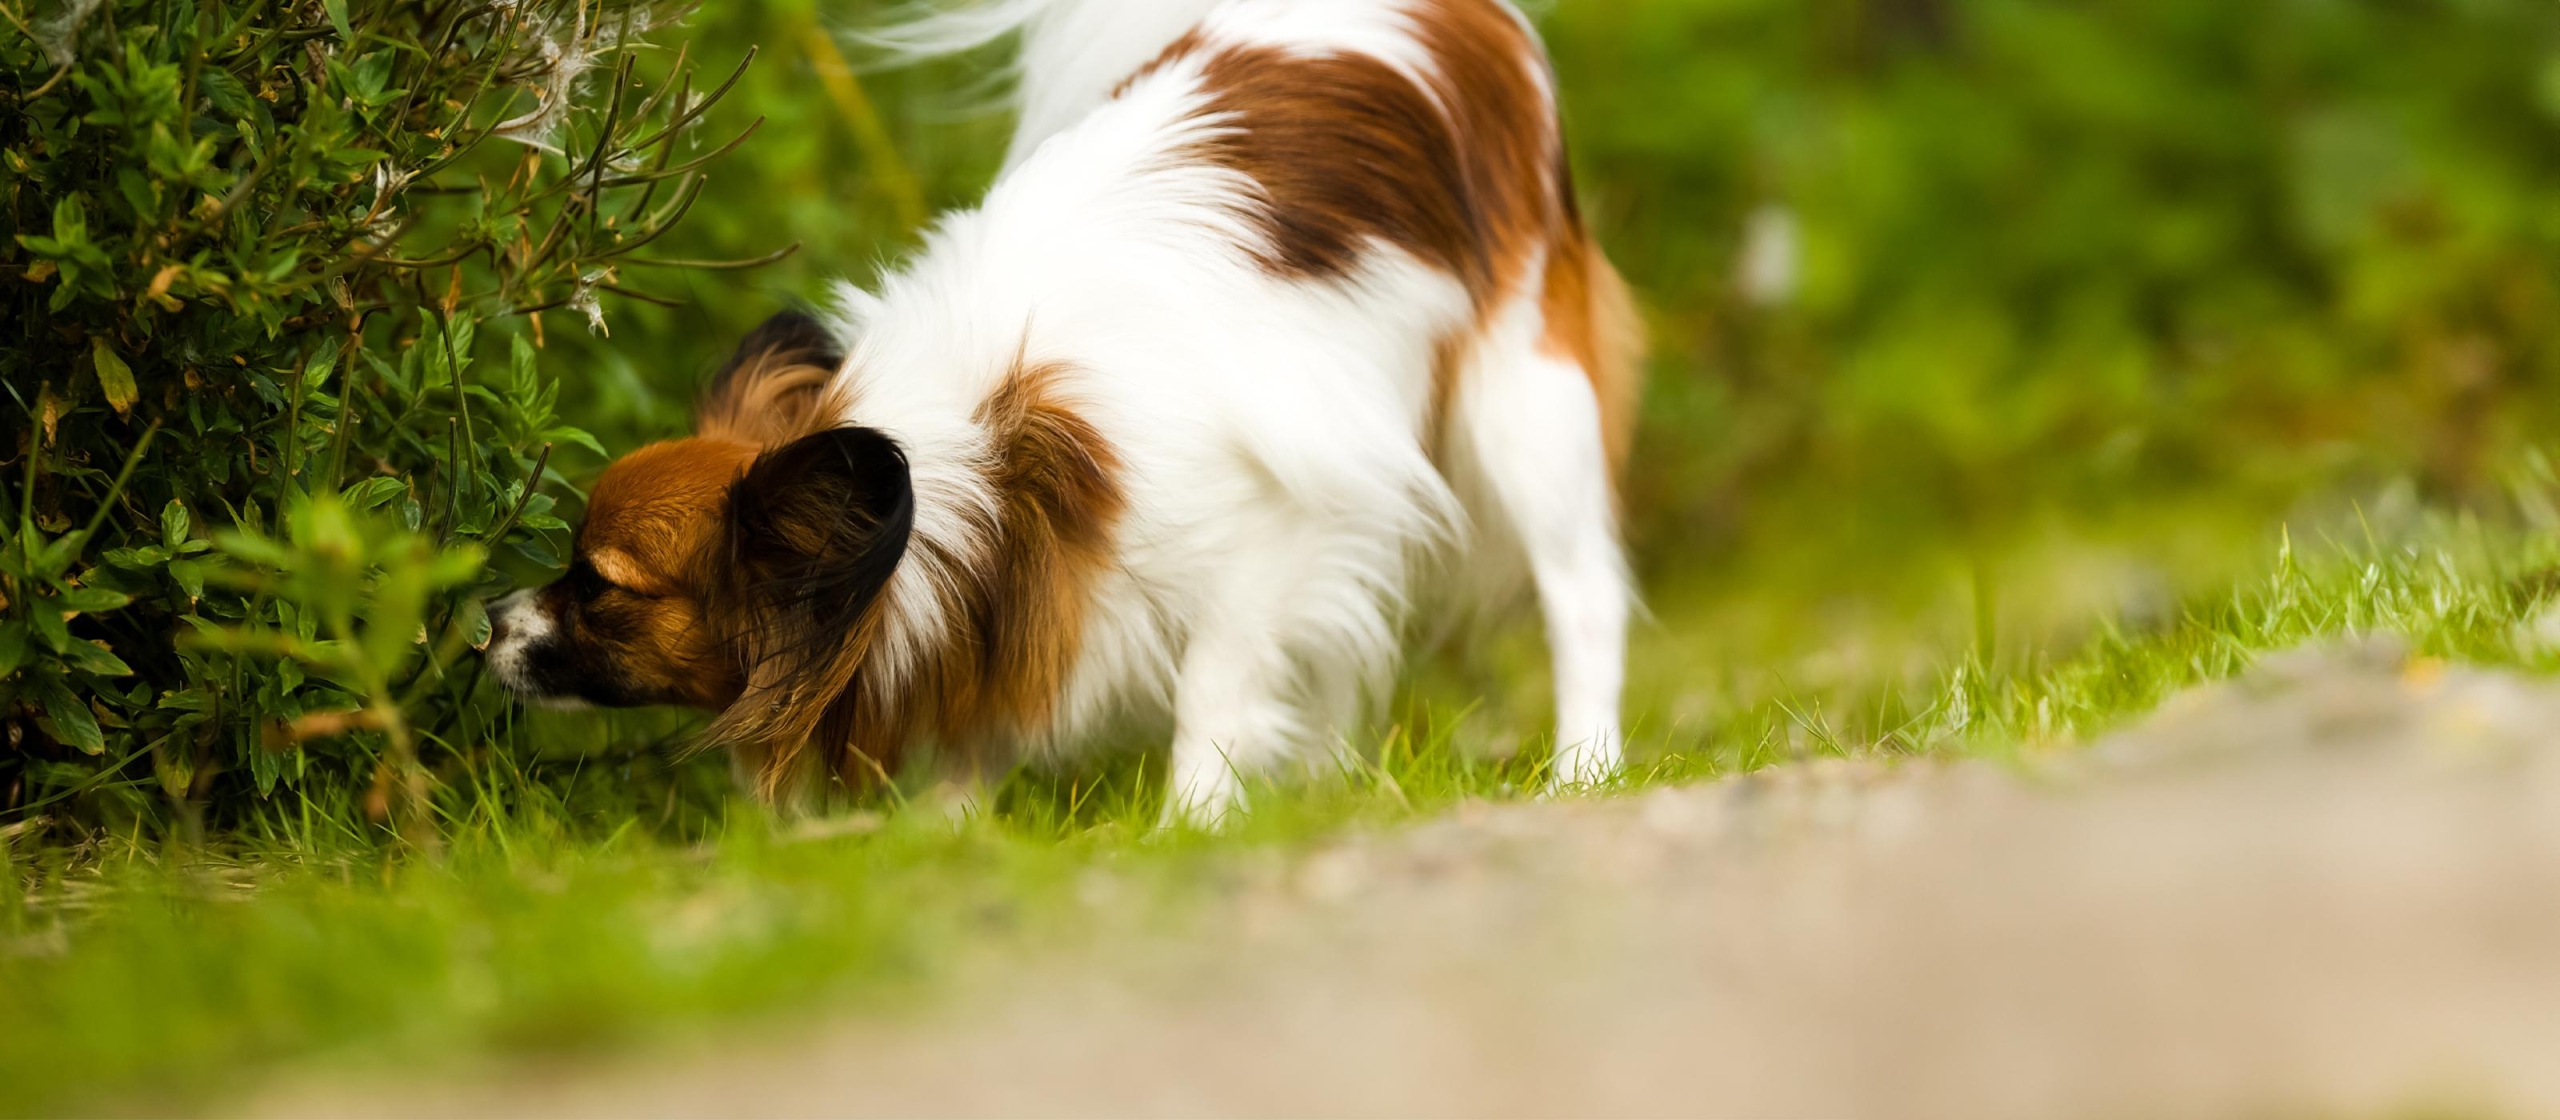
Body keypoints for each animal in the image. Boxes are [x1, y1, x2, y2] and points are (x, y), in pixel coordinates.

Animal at [491, 0, 1648, 823]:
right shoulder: (1016, 591)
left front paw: (1190, 825)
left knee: (1581, 595)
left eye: (599, 587)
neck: (990, 460)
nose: (484, 621)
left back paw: (1580, 771)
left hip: (1523, 404)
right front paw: (948, 835)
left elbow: (1213, 692)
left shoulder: (1271, 538)